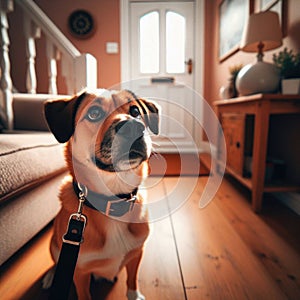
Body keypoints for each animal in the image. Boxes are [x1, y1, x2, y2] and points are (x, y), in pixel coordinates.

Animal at [42, 89, 159, 300]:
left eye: (135, 111)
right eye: (94, 113)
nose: (133, 126)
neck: (113, 198)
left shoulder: (137, 252)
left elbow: (132, 280)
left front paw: (134, 294)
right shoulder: (79, 272)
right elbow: (84, 293)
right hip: (54, 244)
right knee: (56, 261)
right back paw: (50, 276)